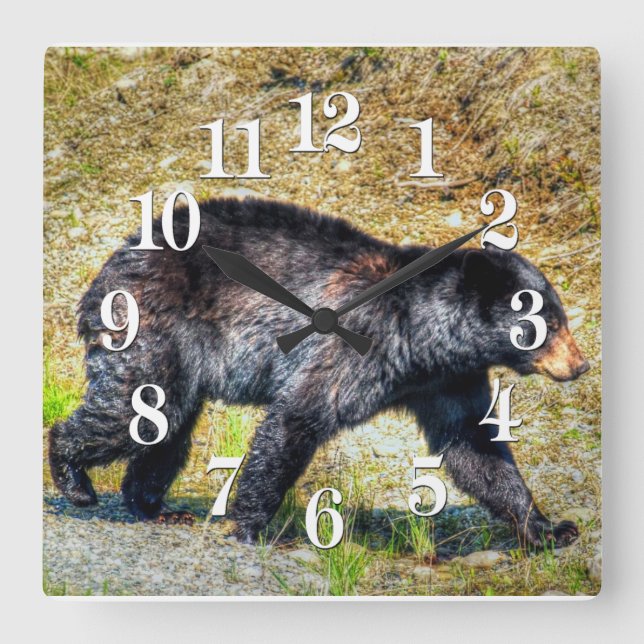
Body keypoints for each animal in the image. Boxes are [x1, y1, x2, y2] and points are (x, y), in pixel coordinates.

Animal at [48, 196, 590, 547]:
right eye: (545, 321)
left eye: (560, 315)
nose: (581, 364)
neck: (422, 336)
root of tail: (112, 263)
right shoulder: (352, 351)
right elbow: (296, 419)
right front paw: (249, 526)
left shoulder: (447, 380)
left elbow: (476, 448)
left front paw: (548, 528)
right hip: (156, 331)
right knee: (132, 410)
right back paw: (74, 479)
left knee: (167, 427)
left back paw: (154, 505)